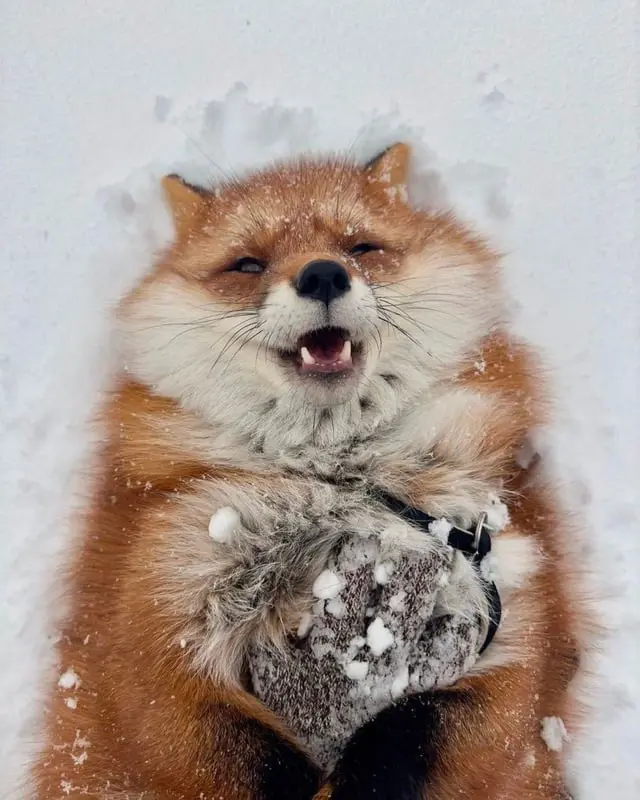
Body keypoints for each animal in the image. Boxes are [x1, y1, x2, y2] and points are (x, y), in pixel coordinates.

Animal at [32, 143, 586, 799]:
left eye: (361, 247)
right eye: (247, 264)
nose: (322, 274)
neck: (334, 475)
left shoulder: (515, 623)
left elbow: (418, 739)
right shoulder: (149, 630)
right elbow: (244, 760)